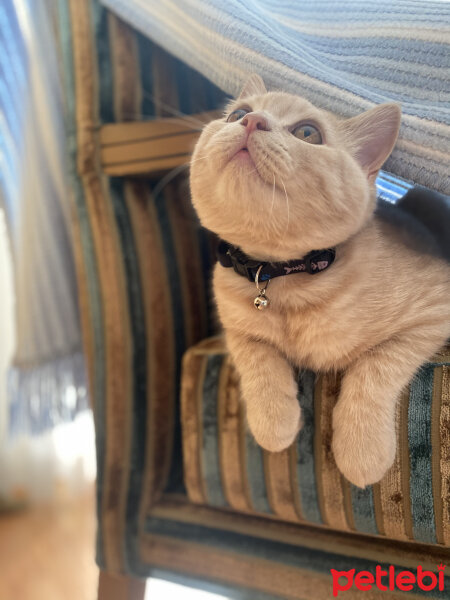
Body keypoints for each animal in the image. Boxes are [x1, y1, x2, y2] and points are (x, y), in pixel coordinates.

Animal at [189, 75, 450, 488]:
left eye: (307, 132)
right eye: (237, 113)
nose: (252, 121)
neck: (280, 277)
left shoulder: (432, 313)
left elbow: (376, 367)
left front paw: (361, 449)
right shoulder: (234, 326)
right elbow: (255, 356)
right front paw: (274, 421)